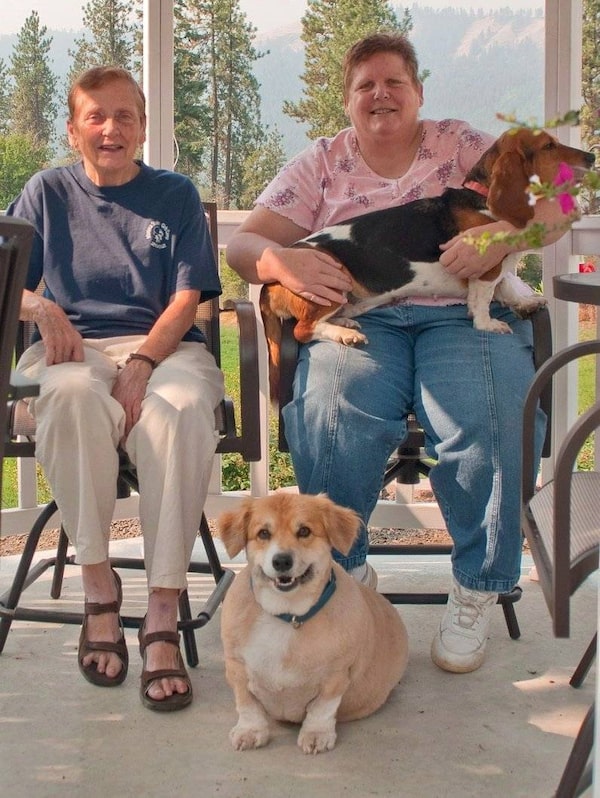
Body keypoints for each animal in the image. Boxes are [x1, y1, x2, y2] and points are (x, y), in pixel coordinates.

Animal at [218, 492, 408, 754]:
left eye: (304, 531)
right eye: (263, 533)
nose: (282, 561)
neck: (288, 615)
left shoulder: (336, 676)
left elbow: (322, 708)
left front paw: (316, 734)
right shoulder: (237, 668)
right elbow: (247, 704)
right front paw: (250, 731)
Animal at [260, 128, 595, 401]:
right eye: (549, 146)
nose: (592, 156)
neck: (483, 199)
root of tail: (270, 283)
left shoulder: (497, 268)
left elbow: (507, 287)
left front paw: (525, 303)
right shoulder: (486, 268)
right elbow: (484, 298)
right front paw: (487, 323)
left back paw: (345, 325)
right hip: (332, 276)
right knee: (304, 330)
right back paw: (345, 335)